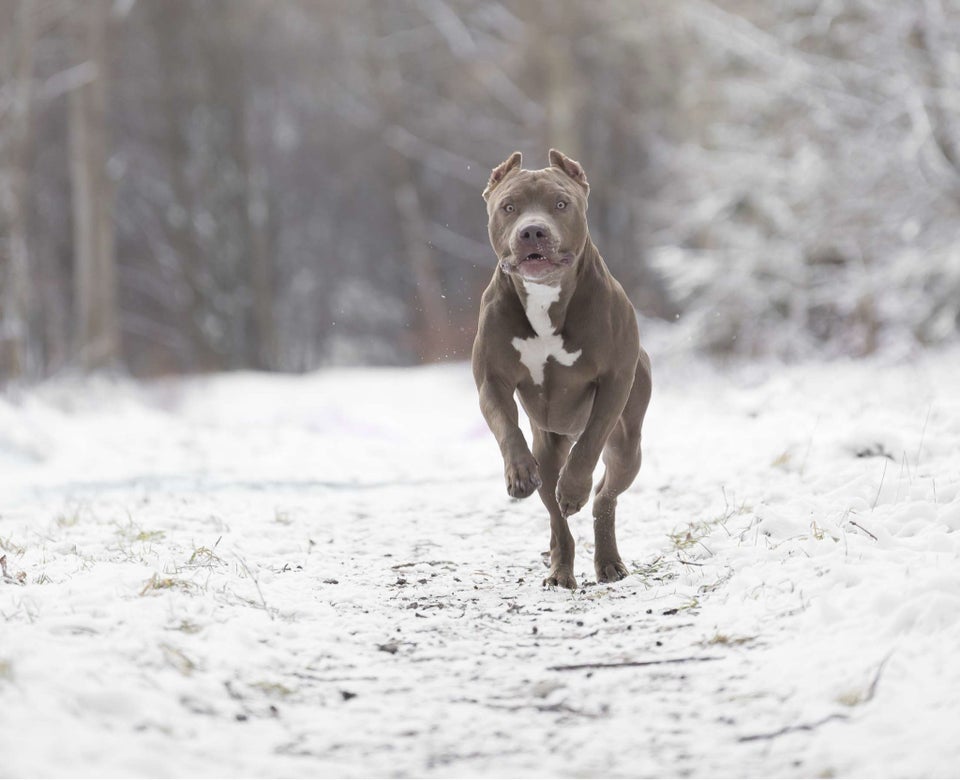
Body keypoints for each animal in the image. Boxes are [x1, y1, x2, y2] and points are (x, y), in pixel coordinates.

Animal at [470, 146, 652, 588]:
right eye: (509, 206)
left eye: (560, 204)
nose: (532, 231)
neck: (545, 298)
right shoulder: (491, 381)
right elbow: (506, 426)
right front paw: (519, 473)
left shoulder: (614, 382)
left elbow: (589, 446)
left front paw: (574, 489)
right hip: (548, 444)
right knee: (556, 515)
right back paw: (560, 567)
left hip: (628, 446)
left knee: (604, 495)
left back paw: (607, 559)